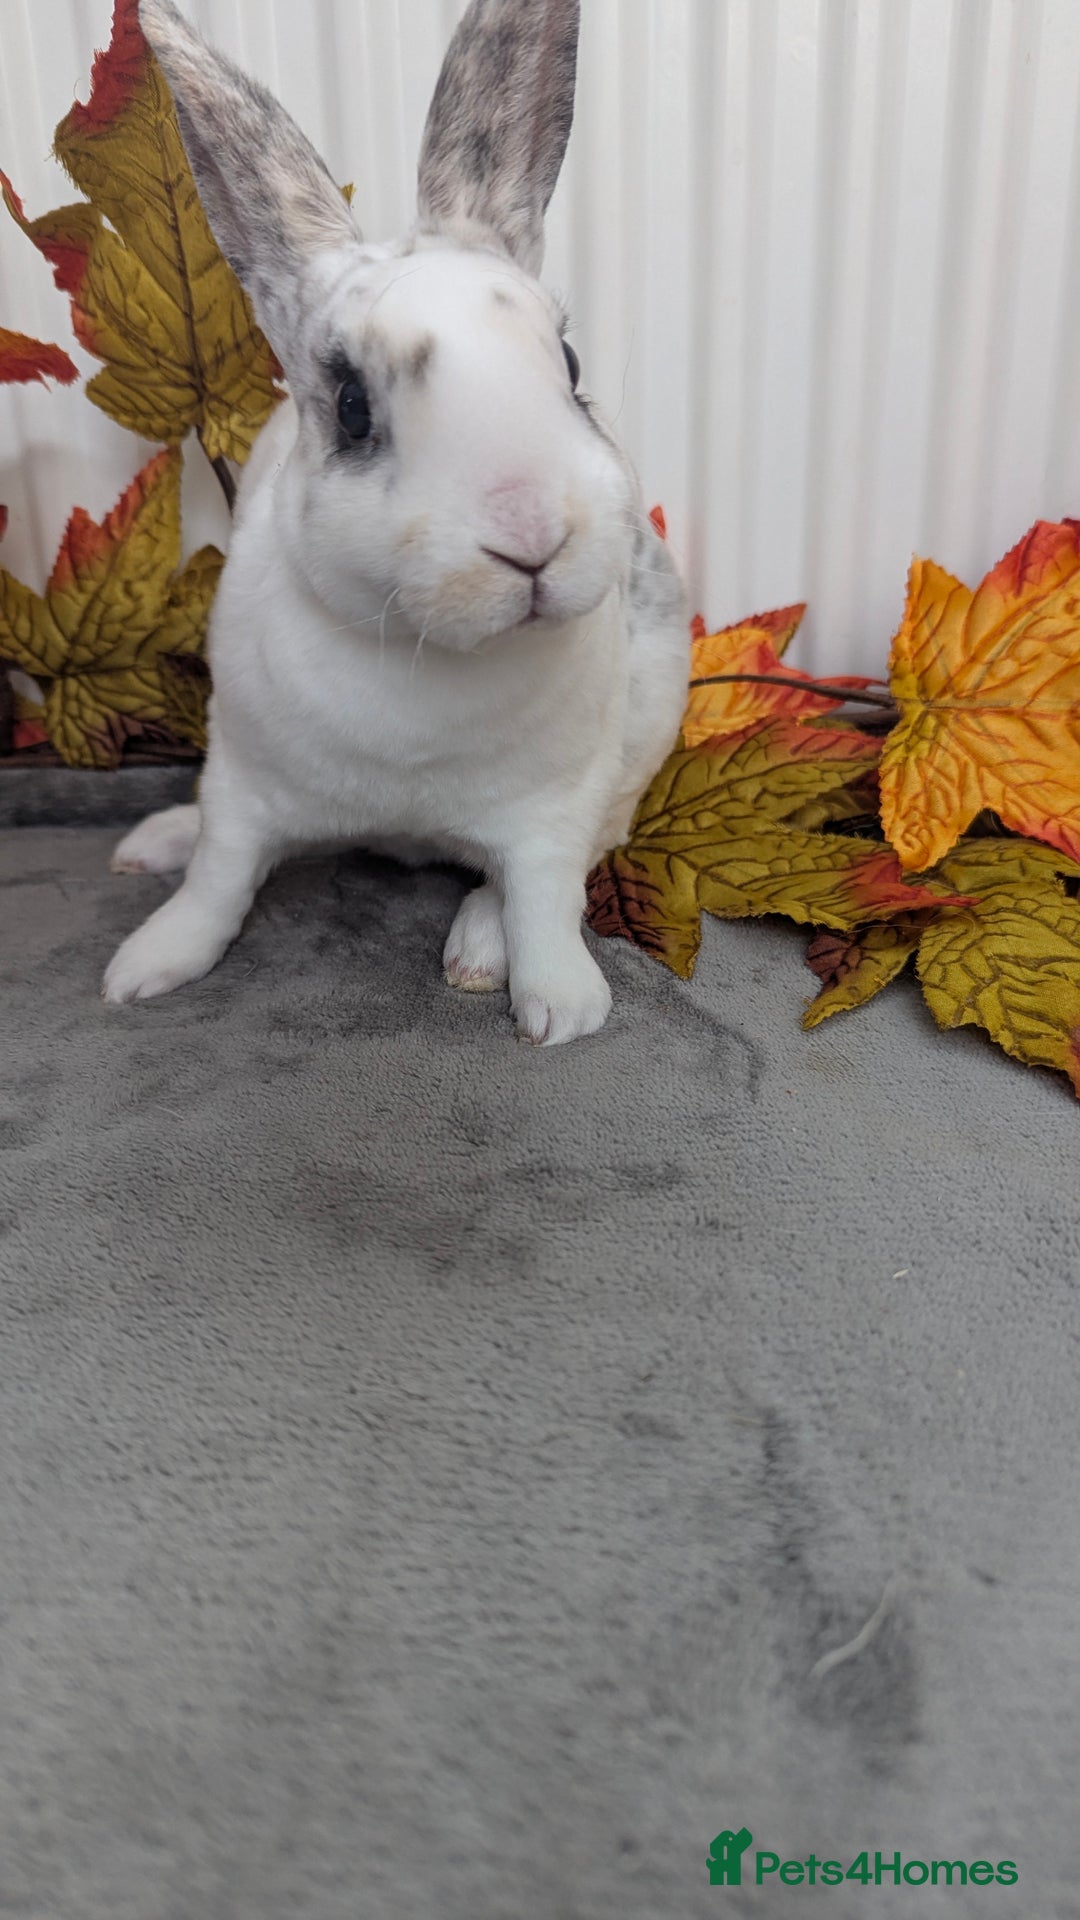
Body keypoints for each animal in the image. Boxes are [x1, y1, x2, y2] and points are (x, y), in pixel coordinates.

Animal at [103, 0, 690, 1045]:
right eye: (349, 407)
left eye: (570, 366)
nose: (533, 536)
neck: (424, 654)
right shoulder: (242, 784)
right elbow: (217, 884)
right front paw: (145, 967)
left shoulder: (552, 811)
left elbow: (545, 898)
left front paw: (562, 1009)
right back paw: (156, 840)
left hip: (635, 755)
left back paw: (478, 949)